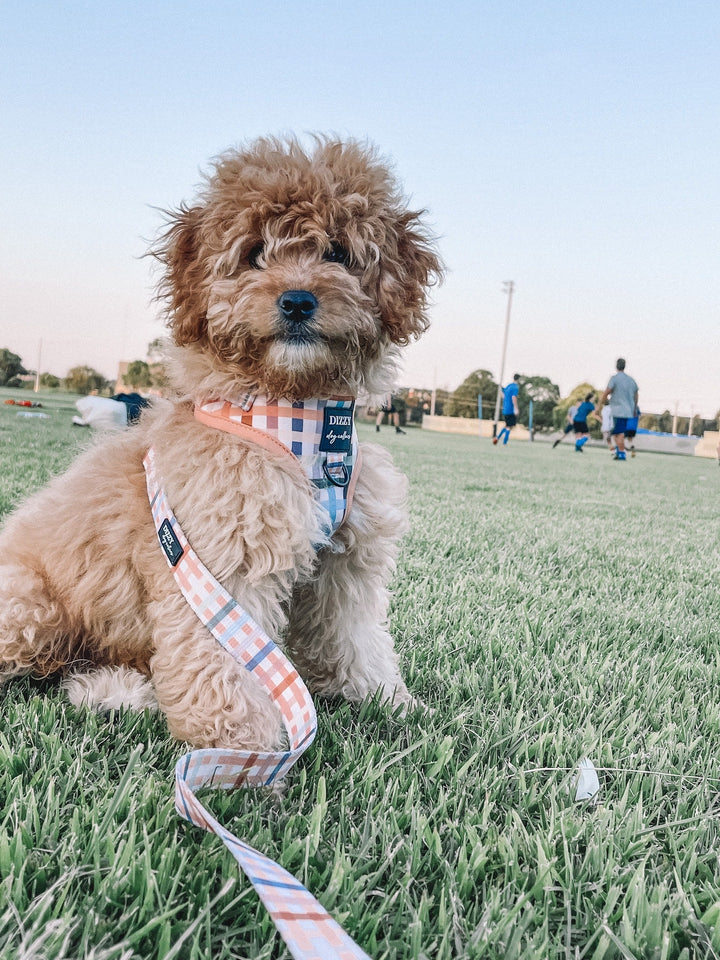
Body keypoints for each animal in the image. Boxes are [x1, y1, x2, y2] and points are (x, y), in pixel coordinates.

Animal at [0, 135, 442, 752]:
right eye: (255, 254)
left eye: (336, 252)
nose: (298, 301)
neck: (296, 415)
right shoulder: (218, 561)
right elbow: (223, 660)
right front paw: (239, 750)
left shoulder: (346, 564)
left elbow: (355, 636)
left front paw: (385, 701)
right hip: (31, 606)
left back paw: (117, 690)